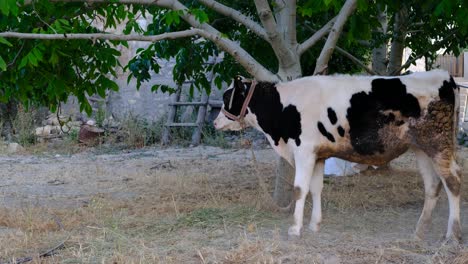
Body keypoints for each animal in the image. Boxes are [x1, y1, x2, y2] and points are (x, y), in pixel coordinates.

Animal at [214, 70, 462, 241]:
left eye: (227, 97)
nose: (215, 123)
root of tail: (444, 76)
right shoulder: (319, 155)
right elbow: (316, 188)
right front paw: (314, 225)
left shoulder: (303, 151)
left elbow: (299, 189)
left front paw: (295, 229)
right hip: (422, 148)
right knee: (432, 185)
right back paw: (419, 231)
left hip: (438, 144)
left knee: (453, 181)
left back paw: (452, 234)